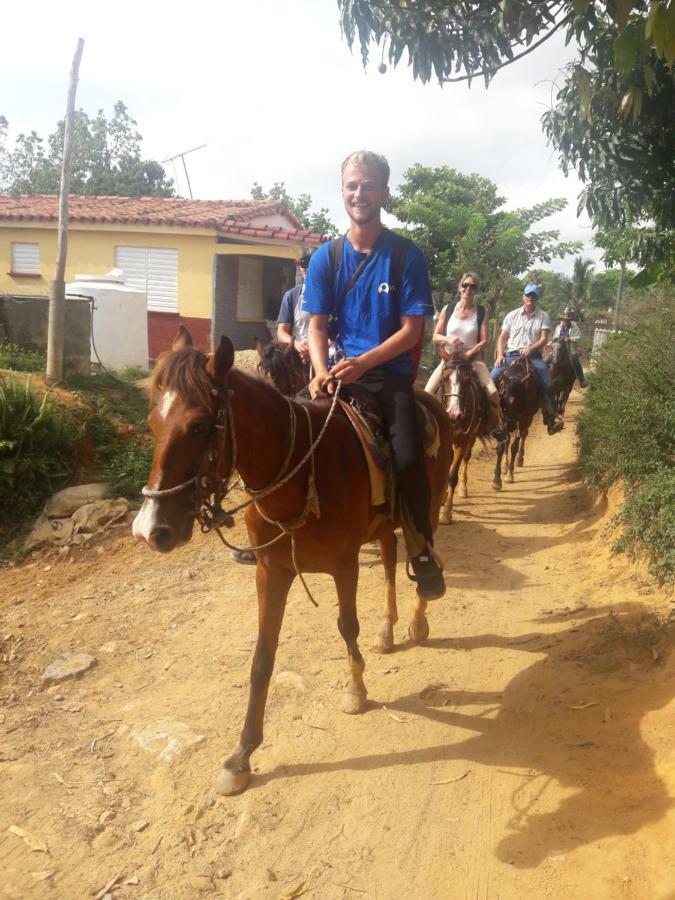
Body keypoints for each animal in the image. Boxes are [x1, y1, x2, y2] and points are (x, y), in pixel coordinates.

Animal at [133, 328, 452, 796]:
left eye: (198, 426)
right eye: (153, 423)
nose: (150, 529)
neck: (302, 475)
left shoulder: (344, 565)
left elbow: (346, 626)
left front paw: (356, 689)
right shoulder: (271, 572)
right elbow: (262, 659)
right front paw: (241, 755)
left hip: (428, 503)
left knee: (423, 553)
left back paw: (418, 618)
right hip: (382, 526)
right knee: (392, 561)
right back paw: (387, 629)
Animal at [494, 356, 540, 492]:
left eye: (521, 397)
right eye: (504, 393)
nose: (511, 418)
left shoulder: (522, 420)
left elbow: (514, 446)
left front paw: (509, 475)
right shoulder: (502, 420)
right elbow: (501, 446)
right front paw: (497, 480)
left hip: (528, 420)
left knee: (523, 436)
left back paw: (519, 459)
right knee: (508, 440)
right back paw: (505, 465)